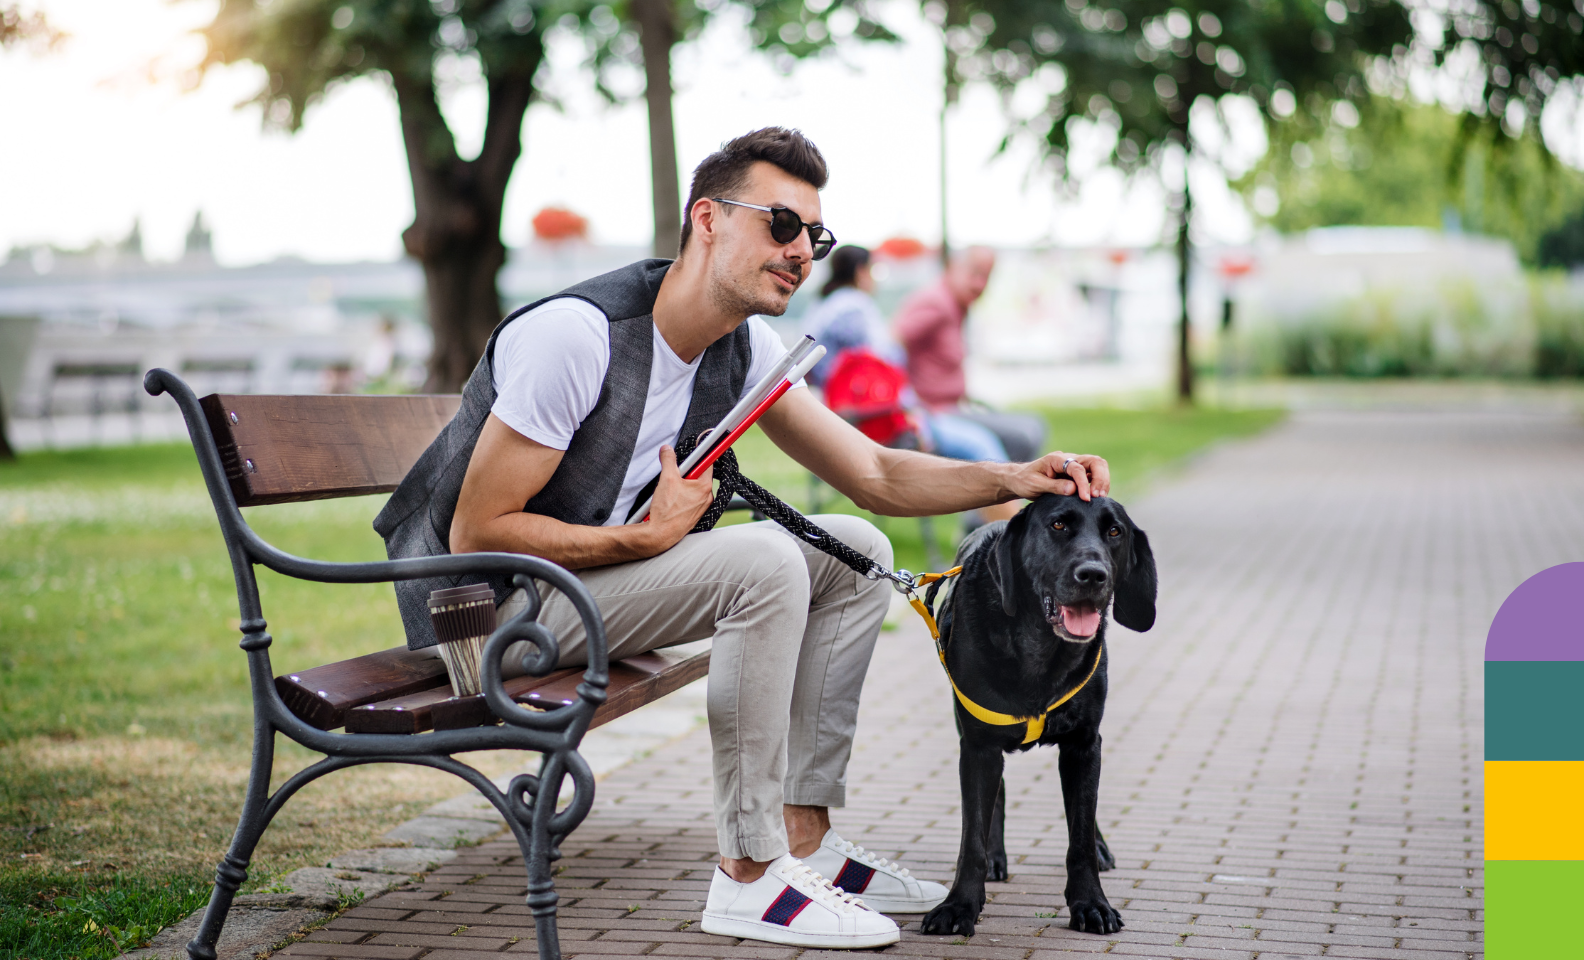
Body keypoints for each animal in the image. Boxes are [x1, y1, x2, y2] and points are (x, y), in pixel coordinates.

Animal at [918, 497, 1153, 937]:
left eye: (1115, 532)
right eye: (1058, 525)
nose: (1093, 574)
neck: (1040, 650)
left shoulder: (1083, 744)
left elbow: (1080, 834)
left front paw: (1091, 903)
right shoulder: (977, 747)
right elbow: (972, 836)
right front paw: (959, 906)